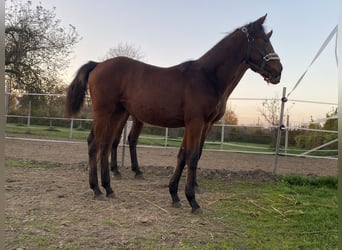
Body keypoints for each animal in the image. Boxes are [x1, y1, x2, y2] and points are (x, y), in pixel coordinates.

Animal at [66, 14, 280, 213]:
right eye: (264, 40)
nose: (279, 71)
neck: (207, 77)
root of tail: (98, 64)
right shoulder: (196, 123)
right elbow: (192, 157)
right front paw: (193, 201)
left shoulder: (199, 124)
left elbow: (184, 155)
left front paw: (175, 195)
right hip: (104, 112)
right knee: (94, 143)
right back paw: (96, 189)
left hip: (117, 114)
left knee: (106, 143)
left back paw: (109, 188)